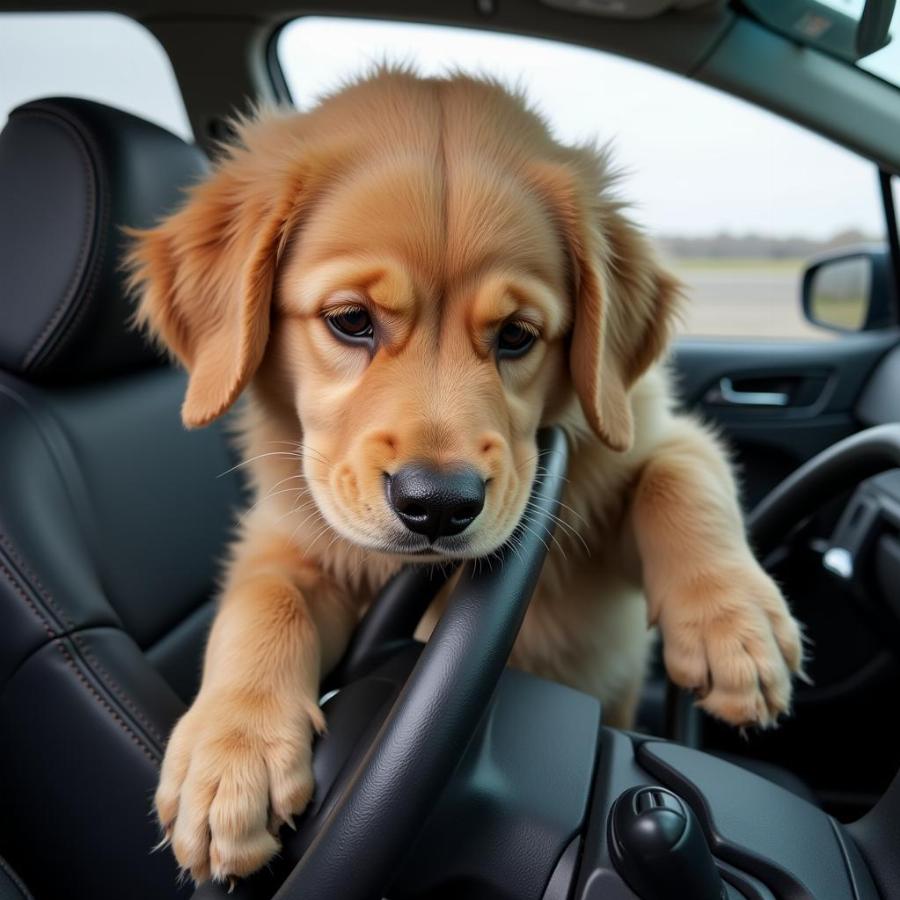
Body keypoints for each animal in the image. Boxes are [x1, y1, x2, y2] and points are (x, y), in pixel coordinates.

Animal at [125, 70, 800, 884]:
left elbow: (682, 472)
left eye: (517, 337)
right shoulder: (292, 533)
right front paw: (232, 754)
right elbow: (264, 599)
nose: (439, 507)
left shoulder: (643, 431)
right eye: (350, 320)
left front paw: (735, 628)